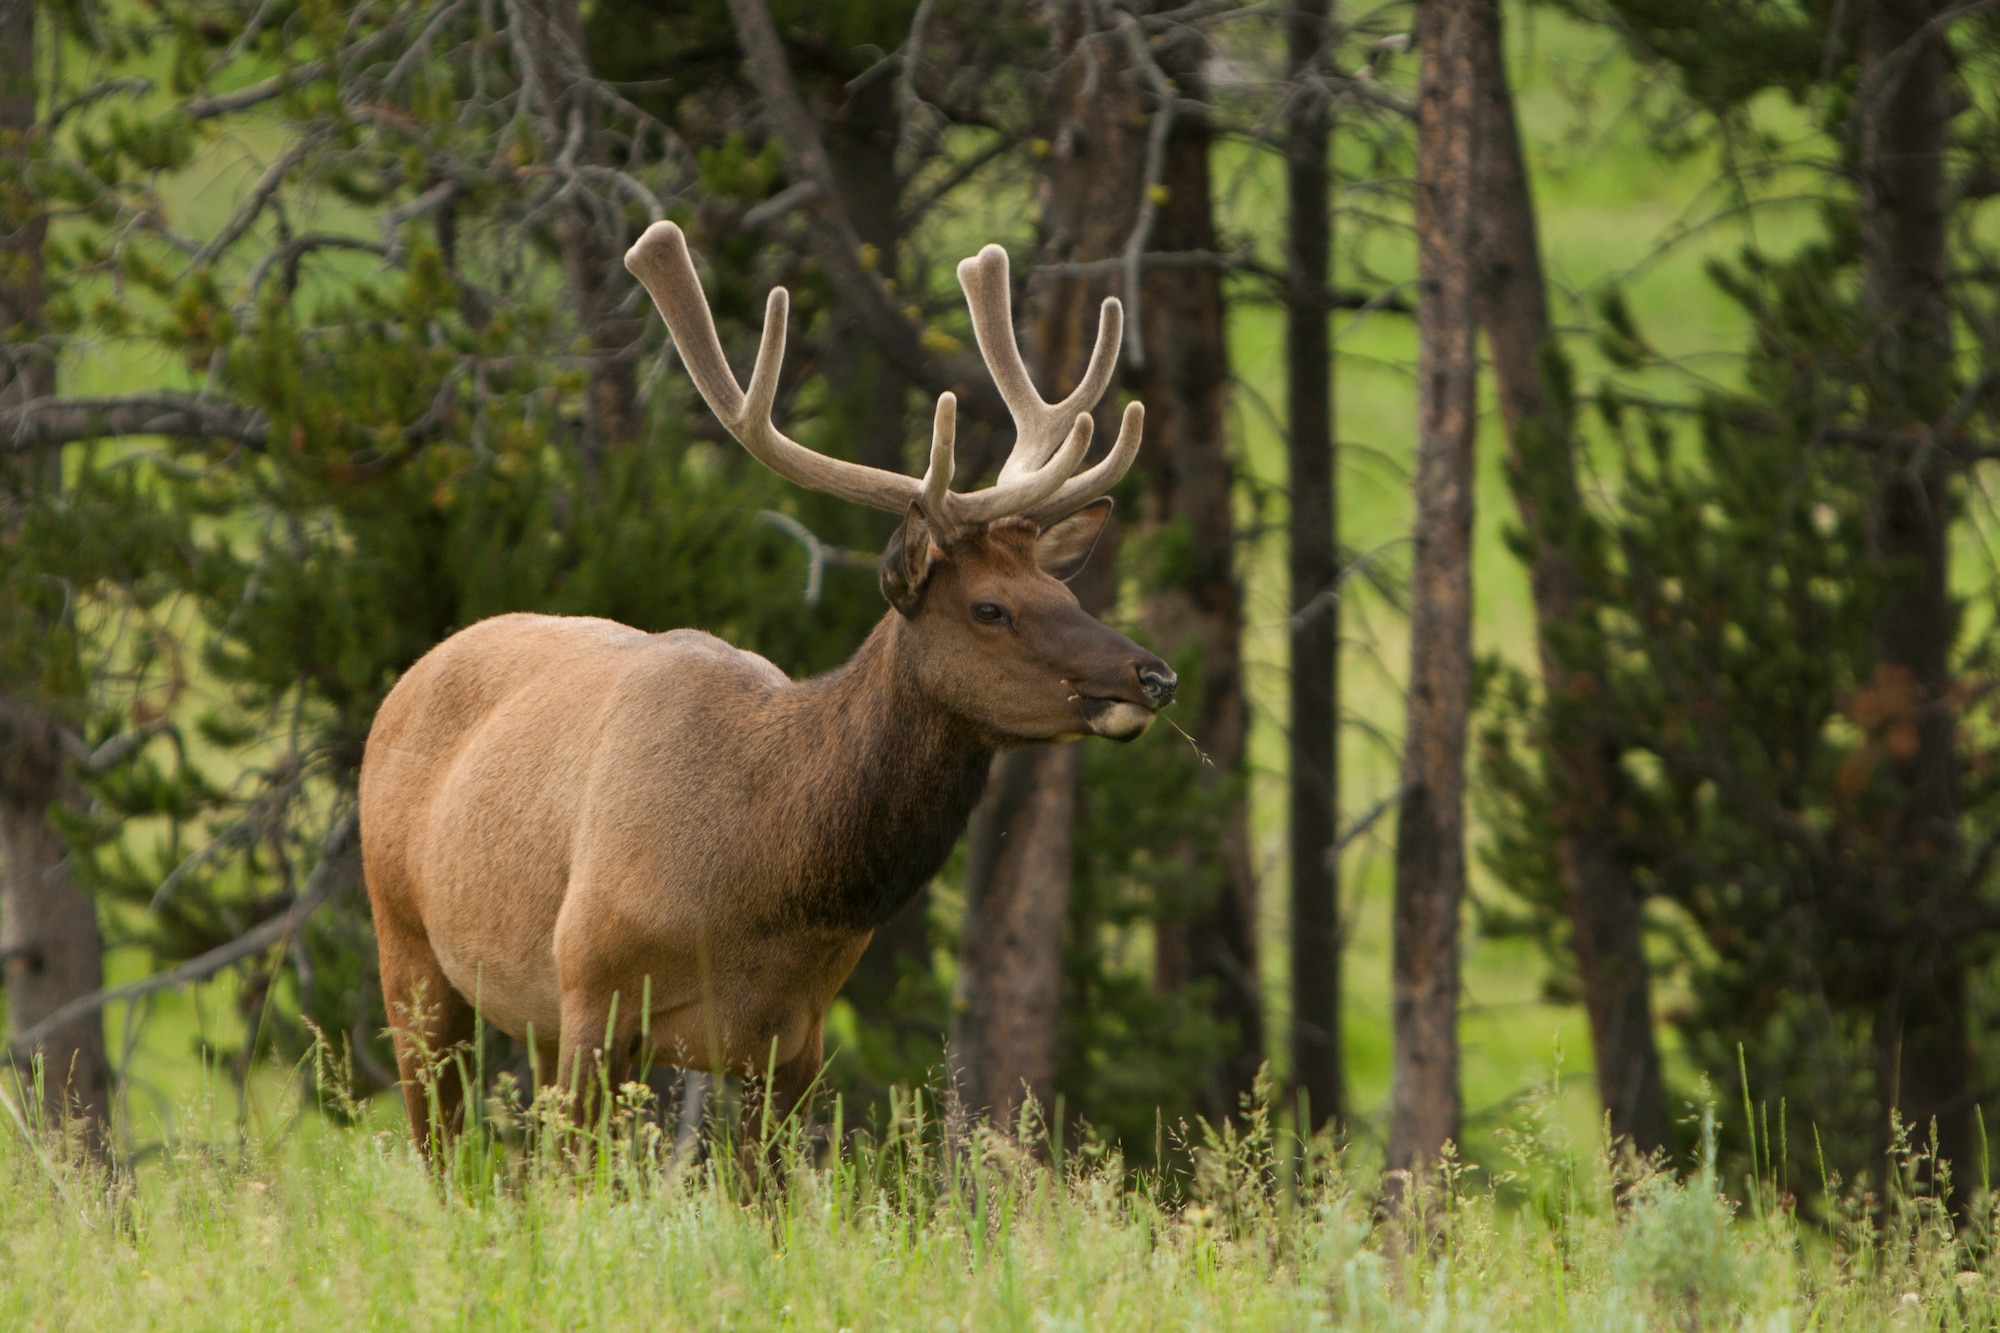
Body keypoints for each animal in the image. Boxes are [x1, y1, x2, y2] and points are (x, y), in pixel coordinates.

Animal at [358, 220, 1168, 1144]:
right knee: (443, 1143)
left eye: (1067, 593)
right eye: (991, 607)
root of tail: (409, 678)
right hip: (408, 945)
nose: (1153, 673)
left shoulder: (795, 1040)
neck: (762, 880)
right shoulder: (592, 985)